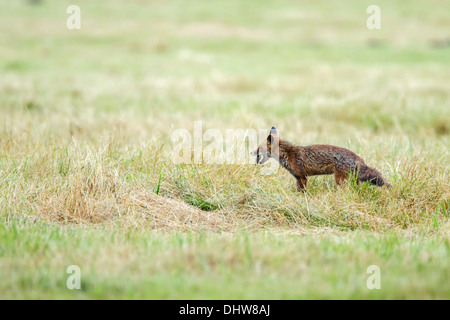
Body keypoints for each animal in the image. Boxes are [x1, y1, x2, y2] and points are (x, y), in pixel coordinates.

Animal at [250, 127, 390, 192]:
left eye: (259, 148)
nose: (251, 152)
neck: (288, 154)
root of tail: (358, 158)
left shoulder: (302, 177)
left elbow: (302, 191)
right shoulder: (298, 178)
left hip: (340, 180)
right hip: (353, 180)